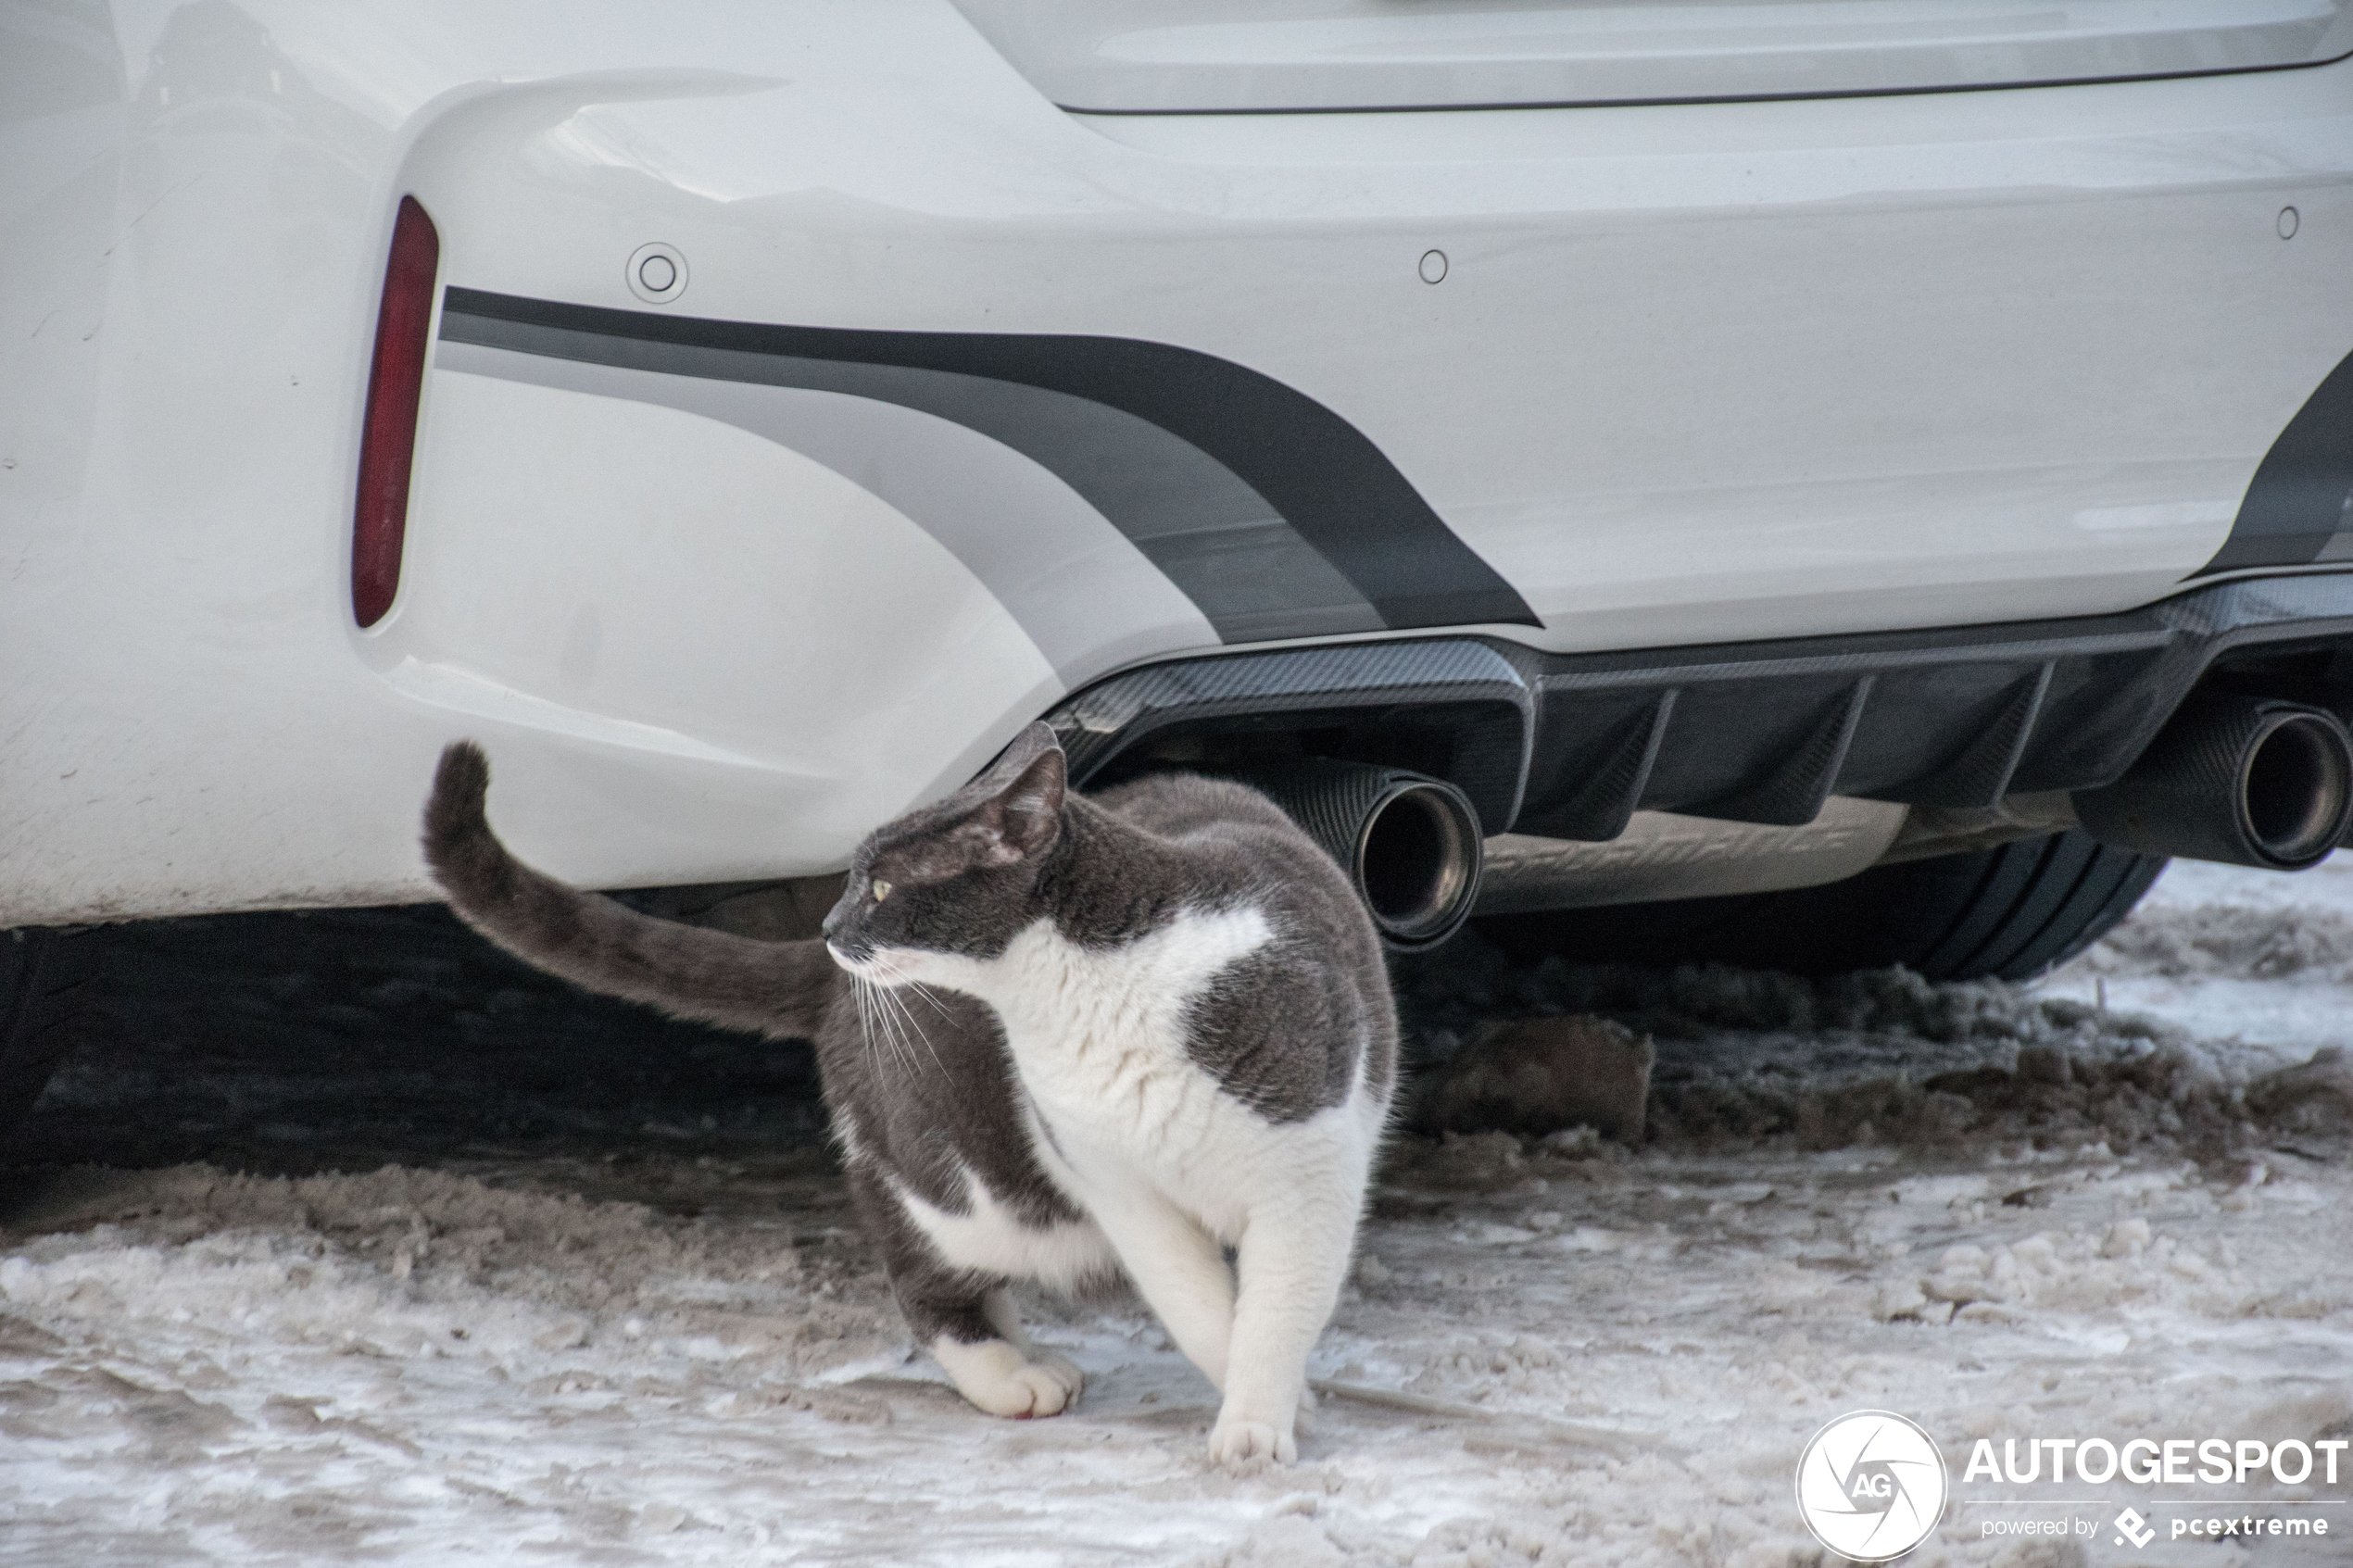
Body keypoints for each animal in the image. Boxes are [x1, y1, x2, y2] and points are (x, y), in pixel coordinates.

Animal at [423, 728, 1392, 1466]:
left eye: (884, 886)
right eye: (852, 879)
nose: (828, 923)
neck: (1099, 986)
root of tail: (829, 987)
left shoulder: (1307, 1173)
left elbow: (1272, 1307)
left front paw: (1260, 1419)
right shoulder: (1119, 1184)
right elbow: (1199, 1308)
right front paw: (1263, 1410)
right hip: (961, 1175)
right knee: (927, 1275)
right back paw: (1010, 1374)